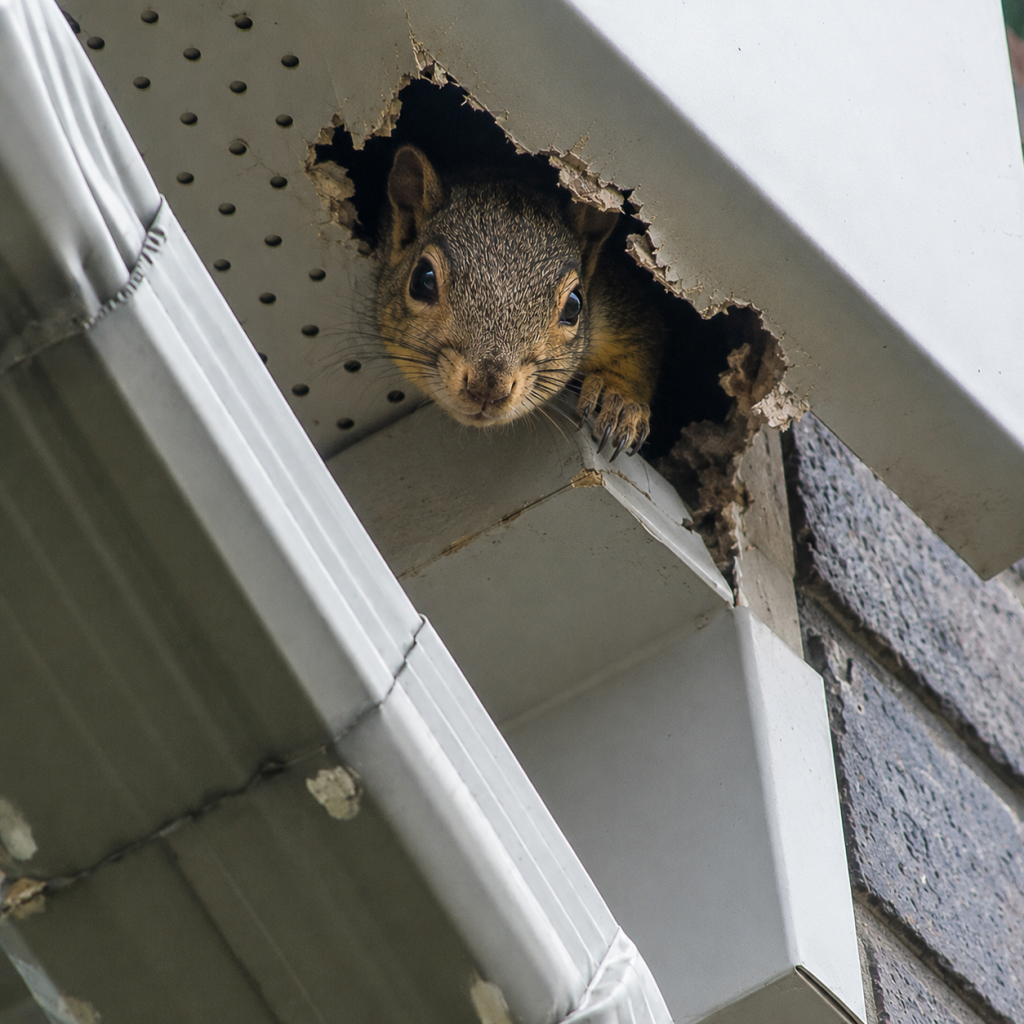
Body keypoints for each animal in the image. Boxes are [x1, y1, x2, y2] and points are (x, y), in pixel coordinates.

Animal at [375, 145, 665, 459]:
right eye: (422, 280)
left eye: (574, 306)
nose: (488, 390)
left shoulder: (617, 304)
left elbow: (640, 347)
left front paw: (620, 401)